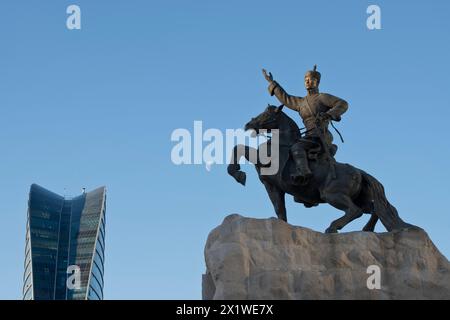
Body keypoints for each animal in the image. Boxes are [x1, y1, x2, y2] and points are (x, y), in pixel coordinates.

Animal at [229, 105, 418, 232]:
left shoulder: (265, 163)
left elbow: (239, 148)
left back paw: (333, 227)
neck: (281, 143)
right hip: (359, 198)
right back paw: (367, 229)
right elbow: (279, 209)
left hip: (332, 195)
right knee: (374, 209)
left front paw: (238, 174)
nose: (248, 124)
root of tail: (360, 173)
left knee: (355, 211)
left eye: (267, 113)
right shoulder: (272, 185)